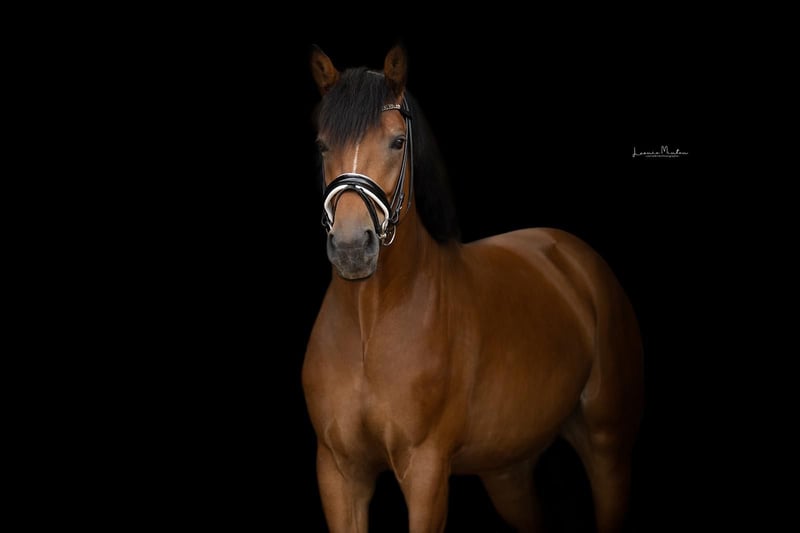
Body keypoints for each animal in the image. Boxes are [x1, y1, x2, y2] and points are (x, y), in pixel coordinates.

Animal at [302, 44, 644, 533]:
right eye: (322, 144)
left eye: (397, 142)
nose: (352, 247)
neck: (371, 325)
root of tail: (576, 259)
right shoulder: (339, 472)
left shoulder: (426, 471)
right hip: (507, 471)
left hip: (607, 448)